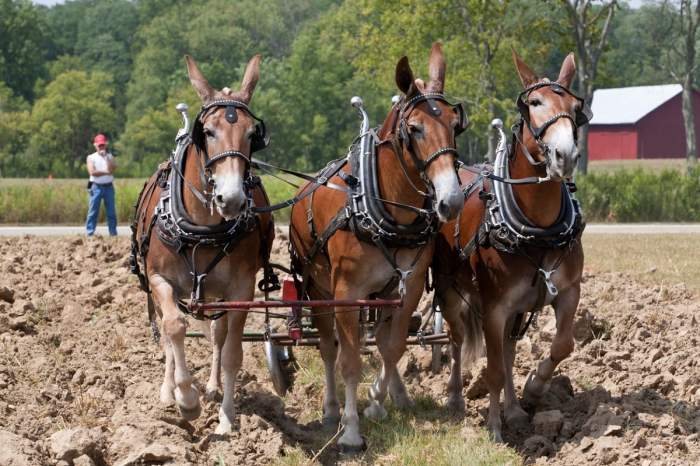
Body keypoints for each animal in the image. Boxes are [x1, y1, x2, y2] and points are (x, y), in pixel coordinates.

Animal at [131, 56, 274, 436]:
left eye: (252, 135)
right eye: (207, 132)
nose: (232, 198)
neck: (204, 228)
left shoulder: (241, 289)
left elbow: (232, 351)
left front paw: (225, 418)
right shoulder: (159, 280)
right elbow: (174, 328)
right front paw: (186, 399)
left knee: (216, 334)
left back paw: (210, 386)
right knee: (169, 332)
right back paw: (170, 391)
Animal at [290, 43, 464, 452]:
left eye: (455, 123)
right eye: (414, 129)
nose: (451, 200)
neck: (385, 210)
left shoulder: (407, 287)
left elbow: (392, 347)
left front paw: (376, 401)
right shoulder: (346, 291)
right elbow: (350, 360)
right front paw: (352, 430)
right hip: (318, 288)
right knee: (328, 347)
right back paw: (332, 410)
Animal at [434, 51, 588, 440]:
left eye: (575, 107)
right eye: (534, 103)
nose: (565, 155)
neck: (538, 229)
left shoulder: (568, 291)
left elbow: (562, 344)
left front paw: (533, 389)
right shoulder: (494, 308)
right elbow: (492, 368)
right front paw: (493, 430)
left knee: (508, 349)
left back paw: (516, 409)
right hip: (449, 290)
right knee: (457, 340)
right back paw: (456, 399)